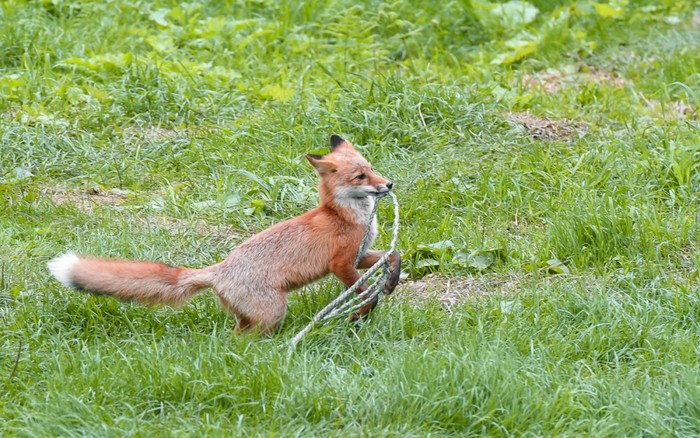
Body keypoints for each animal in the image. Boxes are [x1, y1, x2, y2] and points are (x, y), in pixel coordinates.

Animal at [48, 134, 401, 334]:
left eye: (371, 168)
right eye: (360, 176)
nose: (389, 184)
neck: (345, 216)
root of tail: (218, 270)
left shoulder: (360, 254)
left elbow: (392, 254)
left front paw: (392, 281)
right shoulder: (340, 263)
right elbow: (366, 293)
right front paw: (360, 314)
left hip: (250, 317)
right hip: (272, 313)